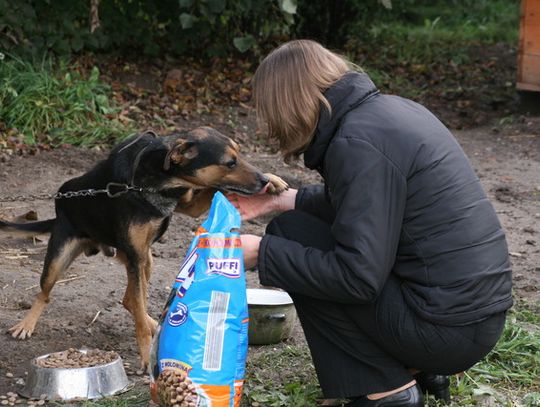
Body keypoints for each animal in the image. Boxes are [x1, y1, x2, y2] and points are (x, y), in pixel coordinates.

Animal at [0, 127, 288, 370]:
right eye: (230, 162)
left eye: (240, 154)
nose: (263, 180)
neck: (158, 176)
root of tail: (60, 206)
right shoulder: (137, 254)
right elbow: (137, 316)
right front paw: (146, 357)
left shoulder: (186, 205)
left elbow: (209, 189)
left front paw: (276, 181)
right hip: (64, 257)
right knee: (46, 292)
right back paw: (26, 324)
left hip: (144, 259)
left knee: (130, 300)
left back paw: (156, 323)